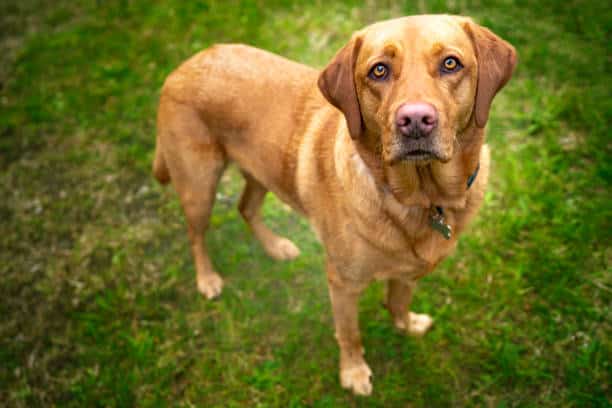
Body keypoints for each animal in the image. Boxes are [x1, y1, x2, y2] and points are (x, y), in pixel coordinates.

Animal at [153, 14, 516, 394]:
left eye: (450, 63)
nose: (415, 120)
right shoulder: (343, 283)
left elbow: (398, 302)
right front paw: (353, 373)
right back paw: (208, 279)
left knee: (246, 207)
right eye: (379, 70)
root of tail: (186, 63)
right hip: (199, 185)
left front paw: (407, 325)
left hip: (263, 170)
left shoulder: (409, 271)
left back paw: (276, 247)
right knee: (196, 234)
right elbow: (349, 333)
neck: (421, 198)